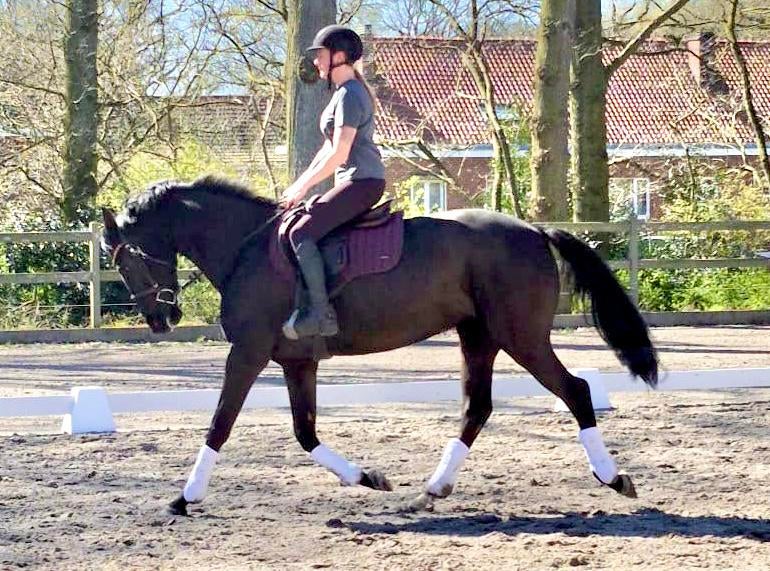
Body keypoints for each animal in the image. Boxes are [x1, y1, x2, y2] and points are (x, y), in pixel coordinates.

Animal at [101, 176, 658, 516]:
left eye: (125, 258)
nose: (161, 319)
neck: (246, 247)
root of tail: (532, 229)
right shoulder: (296, 362)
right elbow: (305, 433)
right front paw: (369, 477)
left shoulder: (249, 352)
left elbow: (220, 422)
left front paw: (185, 497)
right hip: (478, 337)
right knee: (477, 408)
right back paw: (431, 490)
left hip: (521, 337)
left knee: (576, 391)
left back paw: (614, 478)